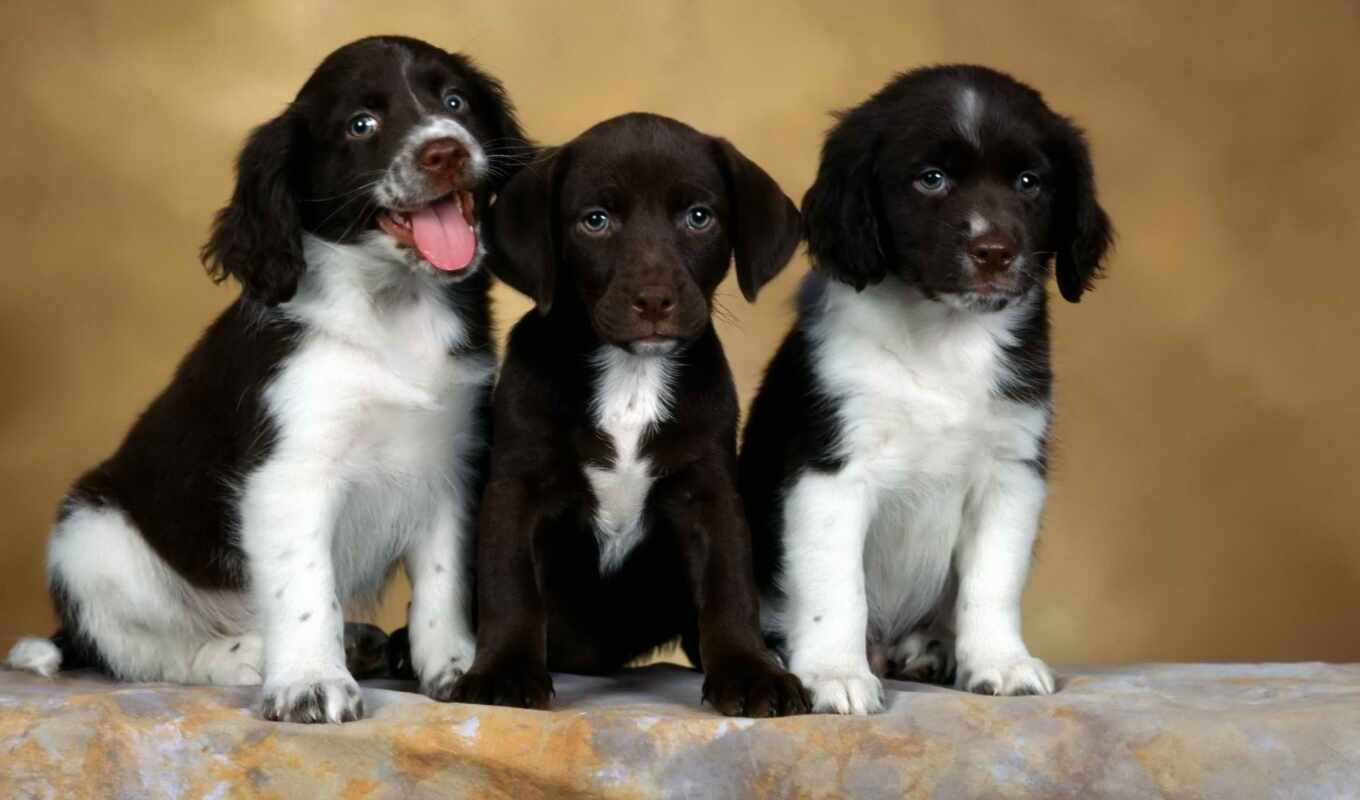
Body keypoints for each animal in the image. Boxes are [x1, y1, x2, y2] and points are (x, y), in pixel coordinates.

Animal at [2, 37, 527, 723]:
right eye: (362, 126)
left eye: (456, 102)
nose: (447, 150)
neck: (392, 311)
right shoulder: (288, 475)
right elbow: (305, 588)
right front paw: (309, 680)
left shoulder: (452, 464)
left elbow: (444, 581)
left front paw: (458, 667)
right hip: (91, 537)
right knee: (147, 652)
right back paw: (249, 656)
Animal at [451, 114, 805, 718]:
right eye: (596, 221)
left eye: (699, 216)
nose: (654, 300)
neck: (631, 375)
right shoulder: (515, 488)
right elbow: (510, 587)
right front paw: (503, 671)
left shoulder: (709, 493)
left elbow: (730, 588)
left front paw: (750, 671)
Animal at [739, 63, 1109, 712]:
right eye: (931, 180)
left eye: (1030, 182)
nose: (994, 253)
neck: (945, 340)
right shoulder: (829, 471)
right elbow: (836, 585)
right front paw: (835, 672)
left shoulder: (1010, 471)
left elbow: (992, 581)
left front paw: (1000, 662)